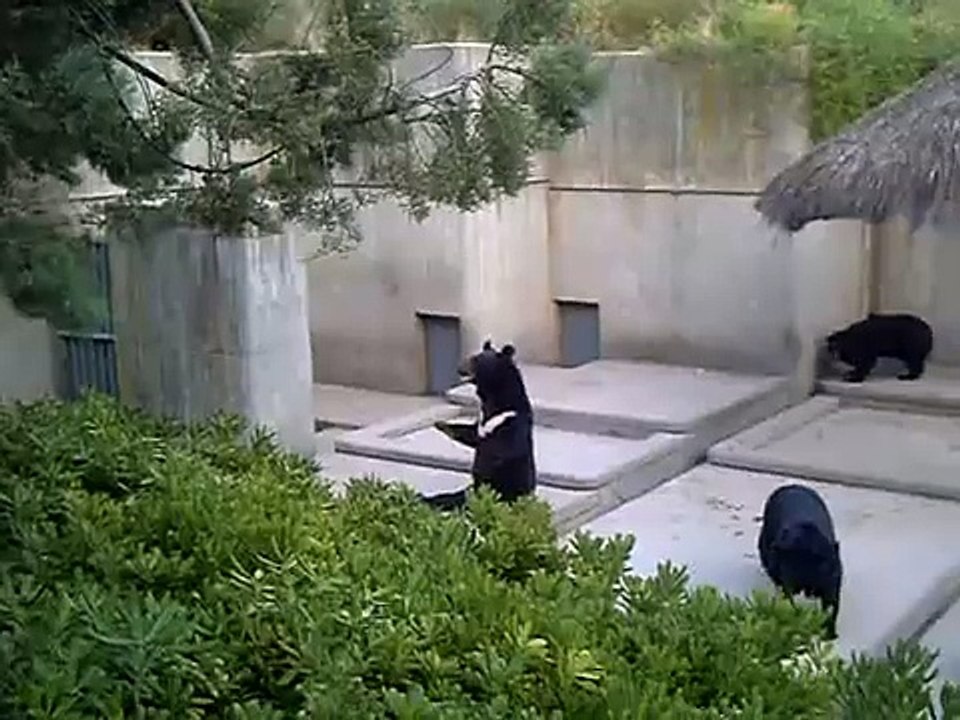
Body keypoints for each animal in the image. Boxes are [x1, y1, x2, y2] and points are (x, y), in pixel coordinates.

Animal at [419, 340, 536, 511]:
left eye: (476, 361)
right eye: (472, 356)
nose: (459, 368)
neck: (494, 397)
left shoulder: (509, 420)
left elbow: (503, 448)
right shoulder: (483, 421)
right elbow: (471, 434)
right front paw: (440, 424)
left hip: (511, 490)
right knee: (453, 497)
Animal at [758, 483, 843, 640]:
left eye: (826, 568)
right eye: (792, 567)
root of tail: (790, 485)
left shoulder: (832, 590)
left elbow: (831, 613)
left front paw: (829, 633)